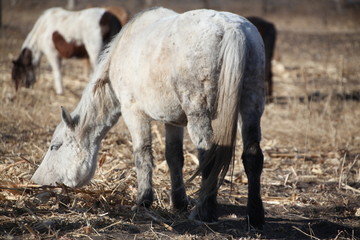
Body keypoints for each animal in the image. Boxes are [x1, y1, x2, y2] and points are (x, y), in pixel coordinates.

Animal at [31, 7, 266, 229]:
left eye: (55, 146)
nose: (36, 181)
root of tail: (231, 29)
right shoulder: (173, 121)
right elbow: (174, 157)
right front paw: (178, 202)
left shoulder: (134, 113)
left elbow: (142, 154)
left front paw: (143, 201)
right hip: (251, 107)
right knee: (252, 155)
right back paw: (254, 216)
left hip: (199, 114)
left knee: (209, 155)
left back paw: (203, 212)